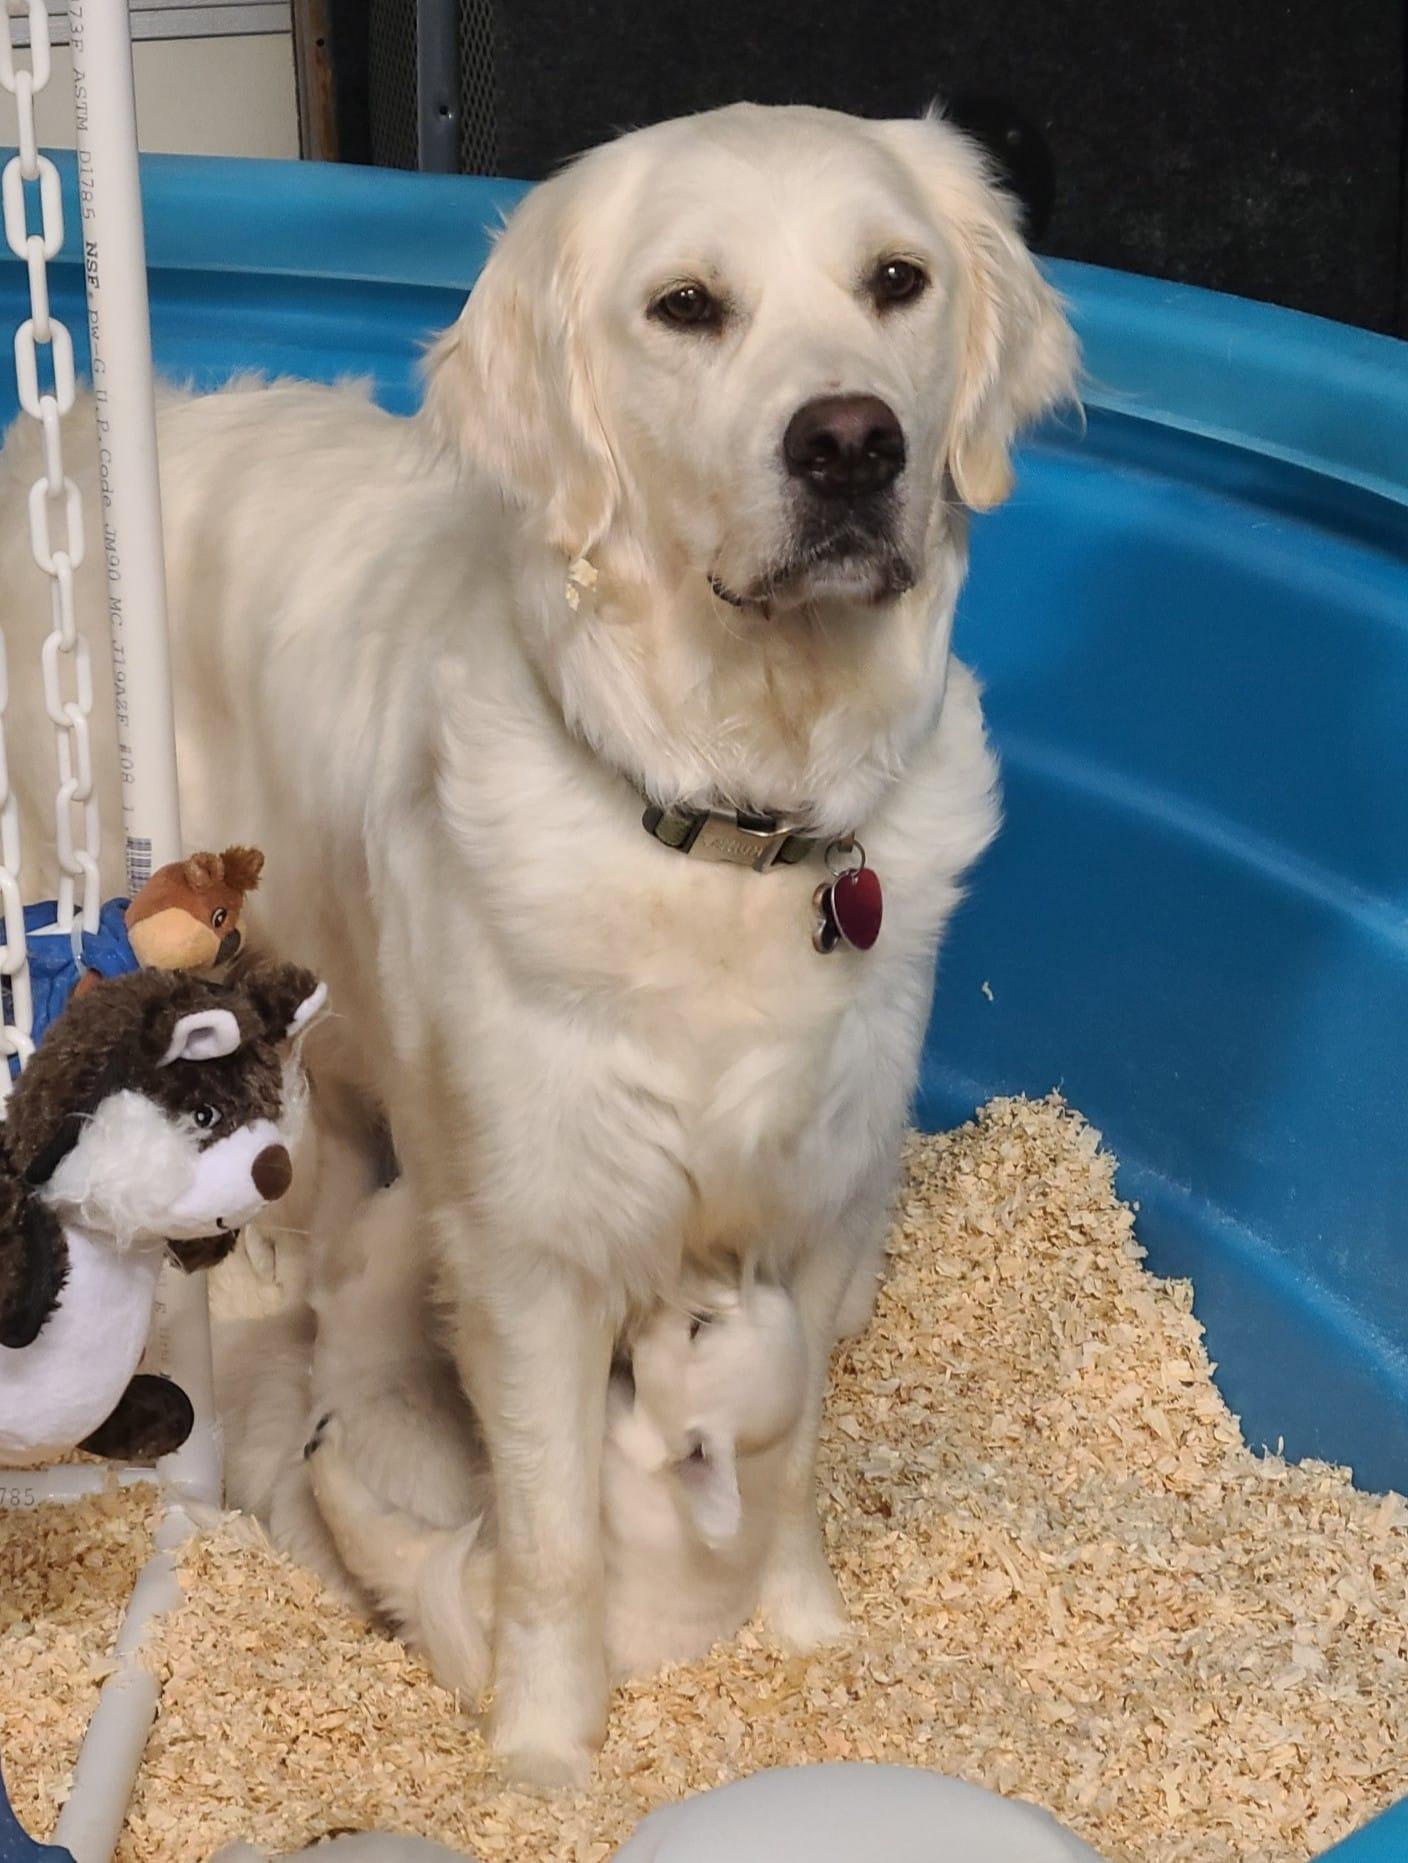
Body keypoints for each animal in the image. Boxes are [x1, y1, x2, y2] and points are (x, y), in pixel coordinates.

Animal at [0, 103, 1076, 1782]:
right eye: (685, 306)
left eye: (896, 280)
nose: (851, 442)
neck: (723, 819)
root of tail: (73, 436)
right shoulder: (535, 1253)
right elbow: (558, 1532)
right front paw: (547, 1757)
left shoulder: (820, 1205)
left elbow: (792, 1452)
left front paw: (805, 1638)